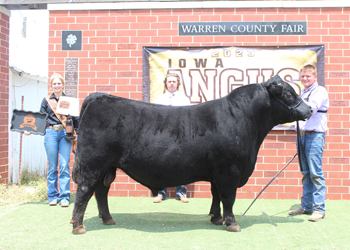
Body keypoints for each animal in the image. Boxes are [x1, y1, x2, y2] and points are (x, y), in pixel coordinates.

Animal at [70, 75, 312, 233]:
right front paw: (232, 223)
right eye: (289, 93)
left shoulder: (218, 172)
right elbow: (228, 197)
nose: (309, 109)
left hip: (107, 167)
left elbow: (216, 195)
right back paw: (78, 226)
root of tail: (99, 97)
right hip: (93, 165)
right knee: (84, 191)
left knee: (101, 191)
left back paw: (108, 219)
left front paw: (216, 218)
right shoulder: (229, 171)